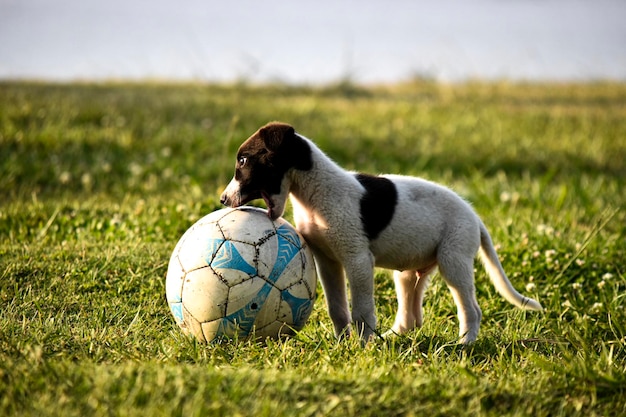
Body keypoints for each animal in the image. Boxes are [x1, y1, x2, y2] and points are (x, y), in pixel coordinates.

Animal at [221, 122, 540, 342]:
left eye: (244, 160)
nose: (223, 200)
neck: (314, 194)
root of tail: (475, 218)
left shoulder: (358, 260)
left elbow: (362, 309)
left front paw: (362, 344)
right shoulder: (328, 262)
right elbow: (337, 307)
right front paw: (342, 342)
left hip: (454, 261)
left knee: (471, 309)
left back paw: (465, 343)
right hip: (410, 274)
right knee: (411, 316)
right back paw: (392, 337)